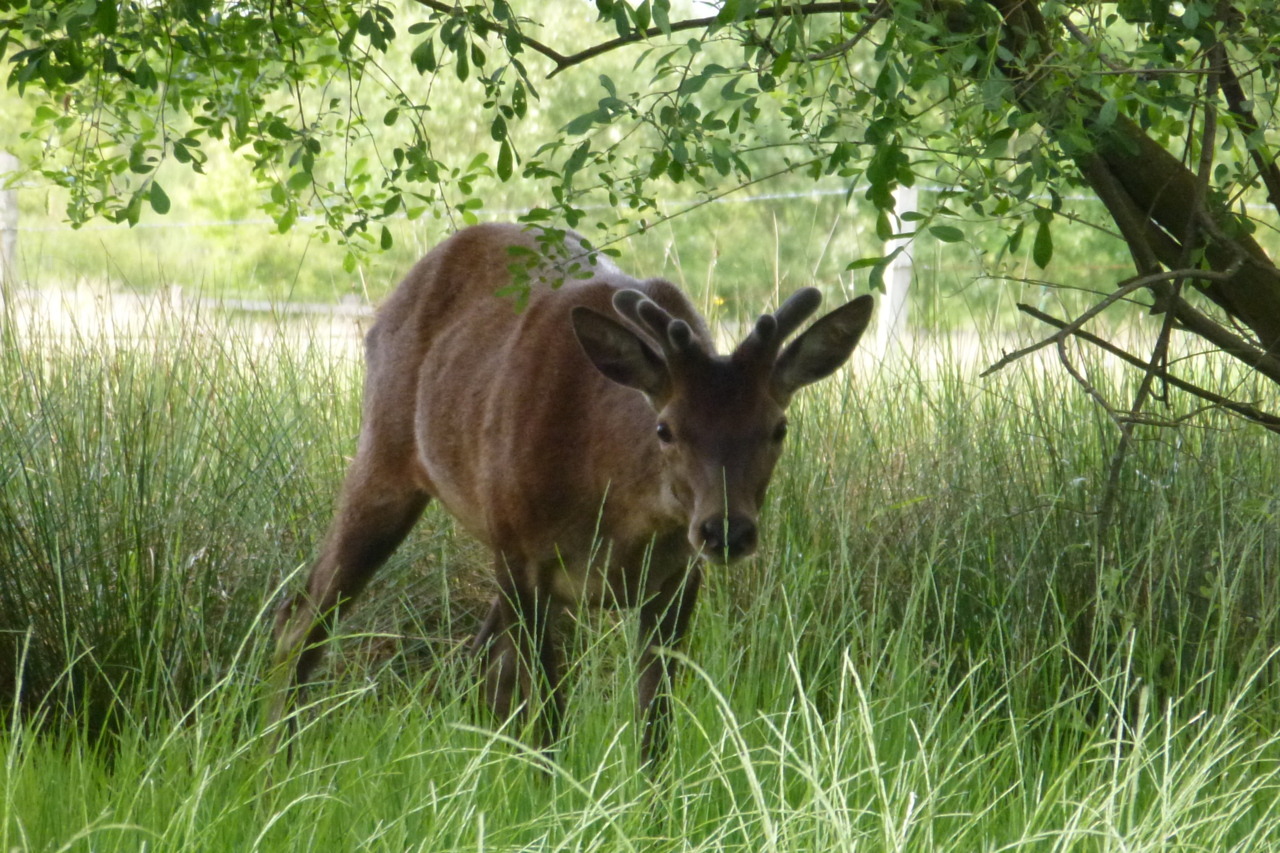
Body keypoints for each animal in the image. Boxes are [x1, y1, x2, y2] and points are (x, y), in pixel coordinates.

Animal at [268, 222, 874, 763]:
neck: (621, 514)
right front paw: (550, 797)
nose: (726, 530)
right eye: (666, 428)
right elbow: (550, 719)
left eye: (778, 427)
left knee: (480, 665)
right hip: (388, 460)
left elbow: (654, 726)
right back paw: (278, 757)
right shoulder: (526, 555)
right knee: (303, 617)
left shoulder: (678, 576)